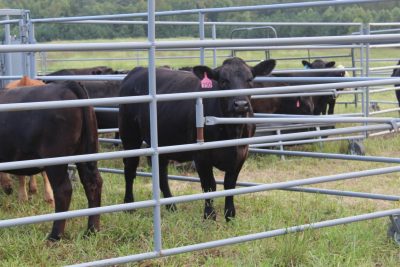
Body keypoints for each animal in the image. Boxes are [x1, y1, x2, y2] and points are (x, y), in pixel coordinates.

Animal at [119, 58, 276, 222]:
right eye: (223, 81)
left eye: (249, 79)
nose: (240, 105)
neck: (232, 130)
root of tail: (137, 70)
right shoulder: (201, 155)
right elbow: (209, 185)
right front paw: (209, 216)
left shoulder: (241, 153)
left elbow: (230, 185)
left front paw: (230, 216)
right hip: (130, 136)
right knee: (130, 170)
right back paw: (129, 206)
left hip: (161, 143)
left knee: (161, 174)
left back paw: (171, 207)